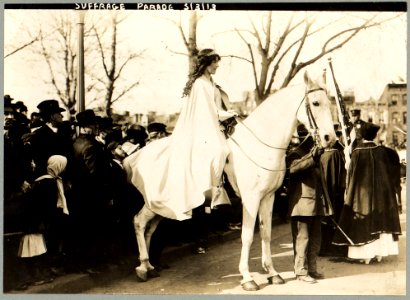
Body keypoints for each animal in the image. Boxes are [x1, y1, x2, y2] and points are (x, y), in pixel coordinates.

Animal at [125, 70, 336, 290]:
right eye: (315, 103)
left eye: (329, 102)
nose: (330, 138)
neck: (259, 145)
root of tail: (136, 156)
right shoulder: (251, 200)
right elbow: (248, 236)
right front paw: (248, 278)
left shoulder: (268, 197)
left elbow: (266, 233)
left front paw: (272, 273)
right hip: (156, 202)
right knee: (139, 222)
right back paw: (142, 268)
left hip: (164, 207)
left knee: (149, 228)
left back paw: (149, 266)